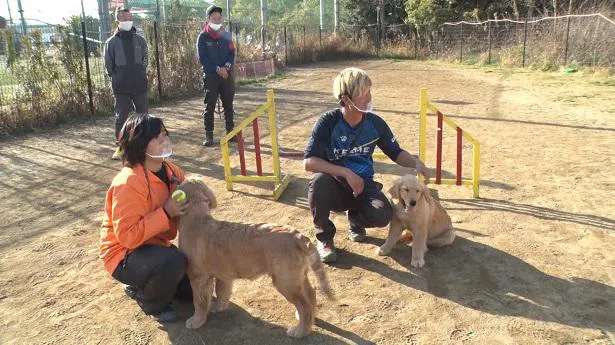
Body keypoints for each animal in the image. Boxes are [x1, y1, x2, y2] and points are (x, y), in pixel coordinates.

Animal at [176, 176, 334, 338]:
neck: (197, 219)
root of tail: (297, 236)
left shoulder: (198, 276)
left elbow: (198, 301)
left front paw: (196, 321)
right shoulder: (223, 274)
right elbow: (222, 292)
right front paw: (218, 307)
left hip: (285, 281)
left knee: (305, 305)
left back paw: (300, 331)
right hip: (297, 277)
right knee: (311, 295)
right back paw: (301, 318)